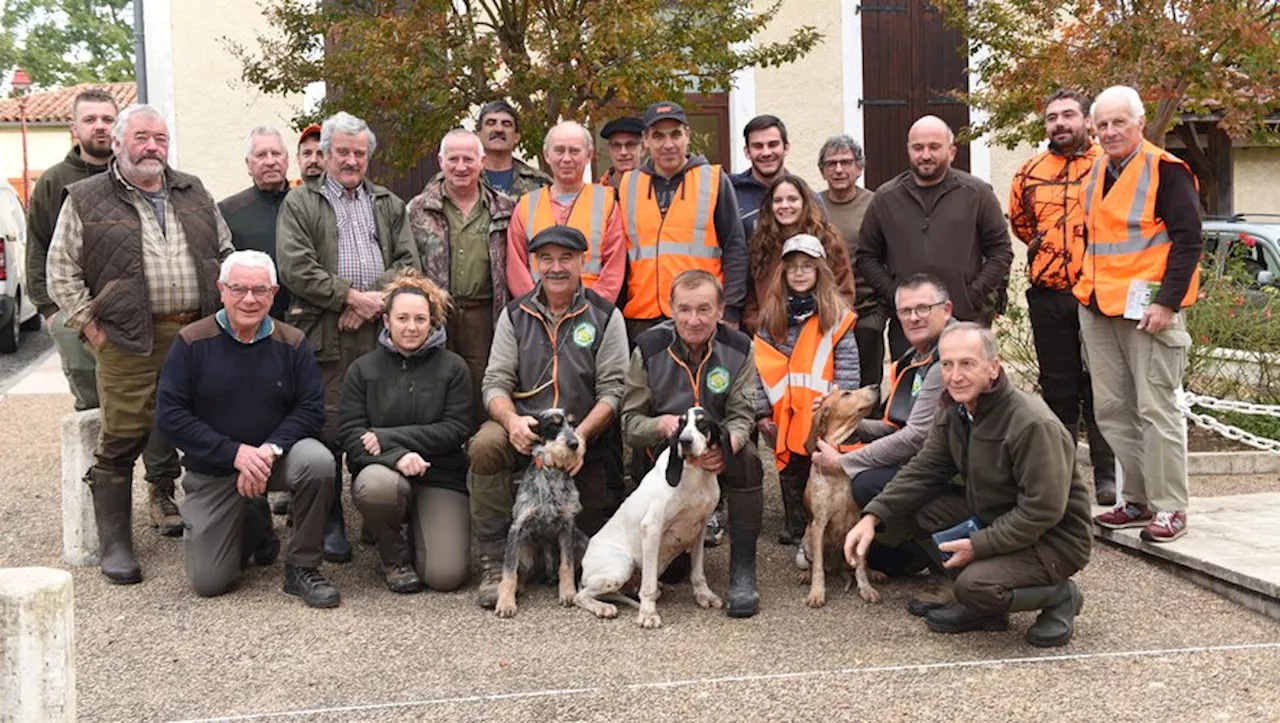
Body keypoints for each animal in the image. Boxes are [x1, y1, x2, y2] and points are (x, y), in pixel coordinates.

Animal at [573, 406, 727, 627]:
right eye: (681, 423)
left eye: (702, 423)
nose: (685, 441)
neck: (695, 475)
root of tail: (583, 564)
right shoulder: (652, 528)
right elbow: (648, 586)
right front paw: (648, 614)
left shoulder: (700, 528)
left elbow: (698, 572)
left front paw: (704, 594)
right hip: (620, 568)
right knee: (581, 595)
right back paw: (603, 607)